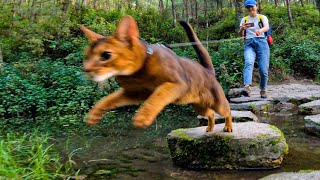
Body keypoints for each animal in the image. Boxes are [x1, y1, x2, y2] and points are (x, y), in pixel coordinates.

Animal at [80, 15, 232, 132]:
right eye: (86, 55)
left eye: (106, 55)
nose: (86, 69)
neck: (138, 73)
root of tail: (208, 71)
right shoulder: (134, 93)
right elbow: (108, 99)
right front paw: (94, 113)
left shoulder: (177, 83)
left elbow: (158, 95)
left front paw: (143, 117)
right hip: (199, 106)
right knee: (210, 113)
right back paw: (210, 127)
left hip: (217, 103)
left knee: (227, 111)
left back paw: (228, 127)